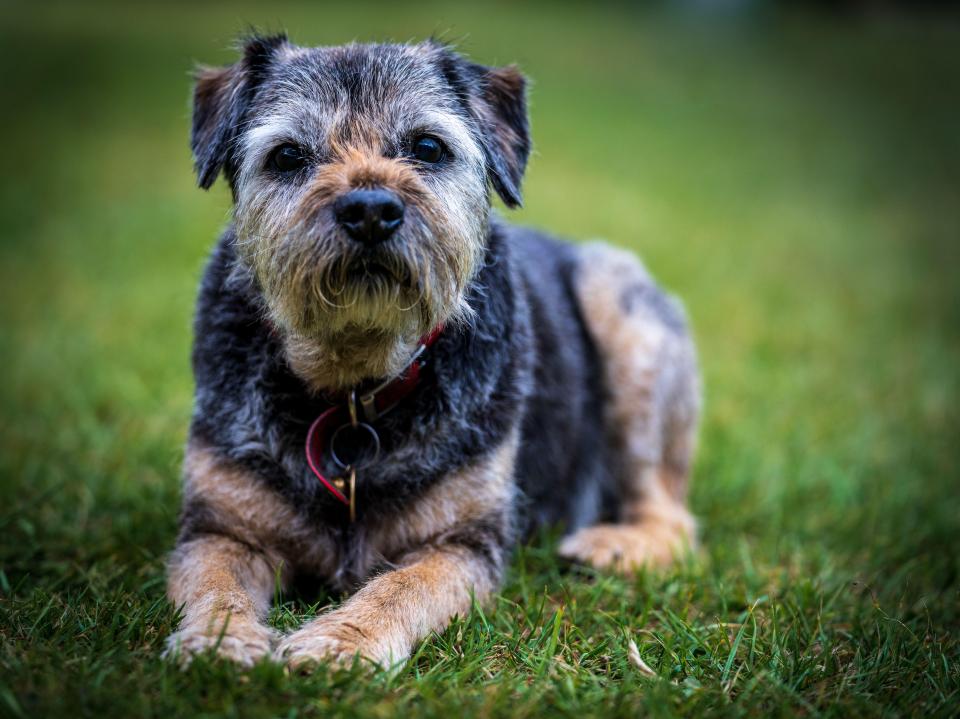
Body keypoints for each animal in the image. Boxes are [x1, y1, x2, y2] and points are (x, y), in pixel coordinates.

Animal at [167, 38, 696, 668]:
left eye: (426, 146)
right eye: (288, 155)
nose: (370, 209)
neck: (355, 385)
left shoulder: (462, 542)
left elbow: (401, 586)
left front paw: (339, 642)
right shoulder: (219, 528)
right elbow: (214, 581)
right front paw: (219, 643)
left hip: (621, 310)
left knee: (675, 517)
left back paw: (610, 546)